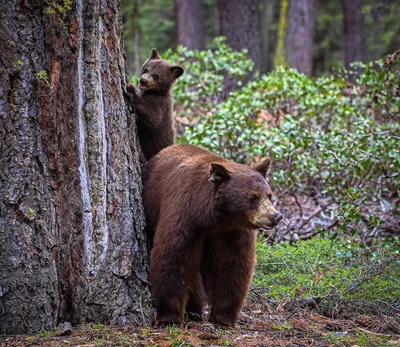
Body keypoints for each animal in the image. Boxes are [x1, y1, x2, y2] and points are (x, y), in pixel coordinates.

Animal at [142, 144, 282, 328]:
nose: (276, 216)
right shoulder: (184, 215)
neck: (212, 219)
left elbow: (232, 266)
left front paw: (223, 318)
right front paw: (169, 317)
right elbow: (172, 257)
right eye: (253, 197)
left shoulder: (231, 232)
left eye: (269, 194)